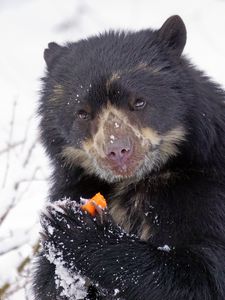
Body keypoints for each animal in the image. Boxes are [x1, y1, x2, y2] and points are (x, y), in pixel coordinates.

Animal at [32, 16, 225, 300]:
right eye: (82, 113)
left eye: (139, 102)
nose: (118, 151)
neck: (135, 181)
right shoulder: (75, 184)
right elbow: (46, 282)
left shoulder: (203, 189)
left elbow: (203, 275)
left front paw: (75, 228)